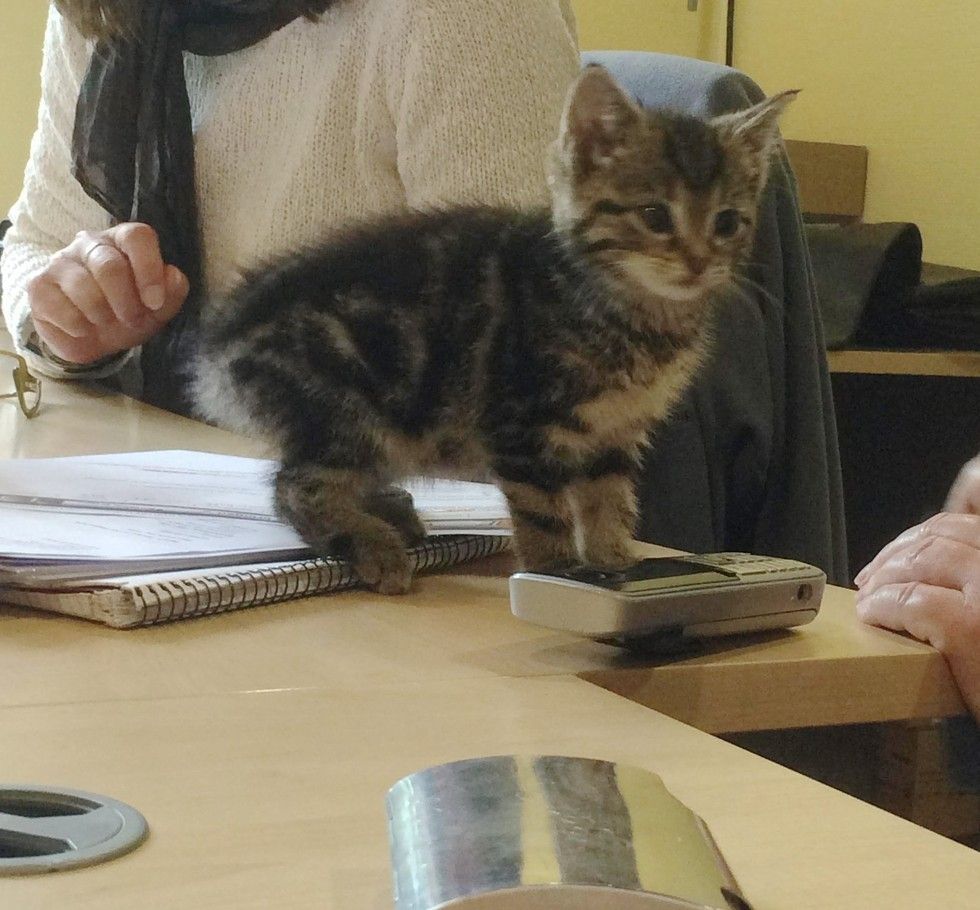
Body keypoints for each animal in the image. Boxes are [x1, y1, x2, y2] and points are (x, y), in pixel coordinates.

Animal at [191, 71, 796, 600]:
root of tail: (221, 340)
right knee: (296, 487)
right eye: (654, 215)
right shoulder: (520, 425)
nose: (698, 263)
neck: (632, 314)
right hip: (349, 407)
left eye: (727, 223)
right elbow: (544, 514)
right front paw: (558, 574)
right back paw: (373, 544)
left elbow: (608, 501)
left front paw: (615, 564)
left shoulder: (615, 432)